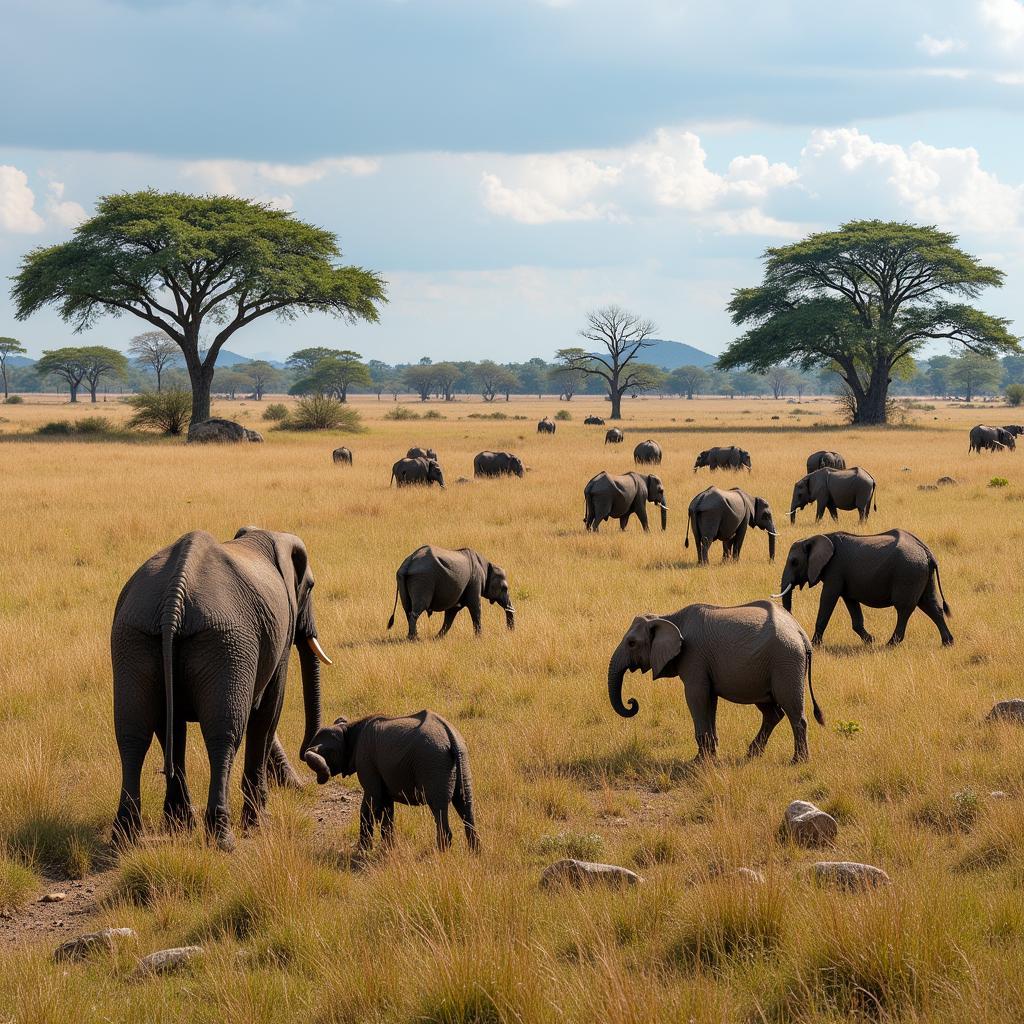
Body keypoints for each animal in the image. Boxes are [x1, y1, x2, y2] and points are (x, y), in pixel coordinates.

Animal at [109, 528, 329, 847]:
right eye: (310, 587)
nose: (315, 766)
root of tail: (175, 593)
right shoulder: (281, 635)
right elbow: (268, 712)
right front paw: (258, 824)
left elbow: (170, 727)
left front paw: (179, 827)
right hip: (226, 641)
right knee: (224, 734)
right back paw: (222, 838)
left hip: (134, 636)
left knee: (133, 733)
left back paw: (128, 837)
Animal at [303, 708, 479, 851]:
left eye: (327, 754)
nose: (320, 778)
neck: (350, 729)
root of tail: (451, 735)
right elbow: (387, 808)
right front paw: (387, 849)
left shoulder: (366, 761)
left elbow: (370, 802)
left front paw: (364, 851)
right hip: (461, 763)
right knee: (465, 806)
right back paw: (475, 854)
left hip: (433, 763)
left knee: (439, 808)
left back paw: (441, 854)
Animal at [385, 540, 516, 634]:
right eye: (505, 588)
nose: (510, 631)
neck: (487, 565)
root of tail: (409, 562)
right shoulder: (475, 581)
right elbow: (475, 607)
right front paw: (479, 638)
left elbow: (451, 612)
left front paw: (438, 637)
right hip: (422, 580)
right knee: (416, 610)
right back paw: (414, 638)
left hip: (404, 581)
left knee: (407, 609)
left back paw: (412, 635)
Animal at [606, 598, 823, 761]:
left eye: (631, 643)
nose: (632, 702)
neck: (668, 618)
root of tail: (801, 633)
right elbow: (709, 700)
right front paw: (710, 757)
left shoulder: (693, 657)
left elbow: (696, 697)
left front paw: (698, 762)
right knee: (772, 712)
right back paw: (752, 755)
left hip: (786, 662)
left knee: (793, 711)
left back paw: (798, 761)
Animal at [778, 528, 954, 647]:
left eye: (794, 562)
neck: (815, 537)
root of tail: (927, 551)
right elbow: (851, 603)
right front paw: (870, 640)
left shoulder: (835, 570)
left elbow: (828, 599)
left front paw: (815, 644)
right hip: (922, 573)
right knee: (931, 605)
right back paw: (948, 643)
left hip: (908, 572)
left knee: (904, 608)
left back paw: (891, 644)